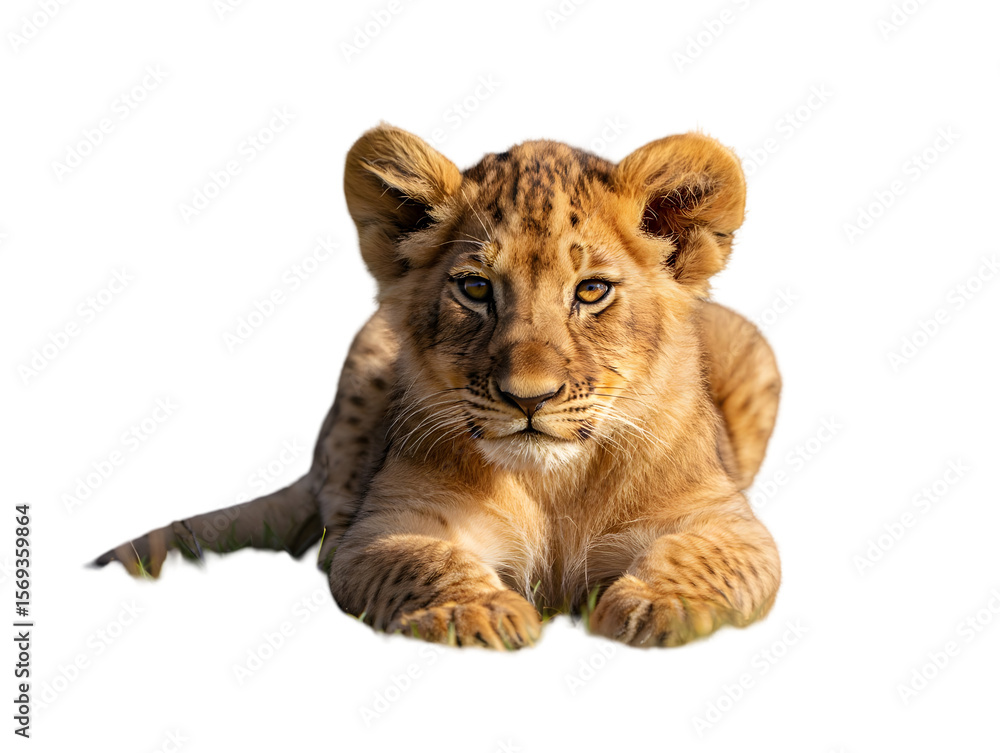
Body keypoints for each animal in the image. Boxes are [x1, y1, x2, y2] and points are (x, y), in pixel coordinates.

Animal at [95, 124, 782, 649]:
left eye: (591, 291)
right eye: (476, 288)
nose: (528, 398)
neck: (553, 486)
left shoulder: (724, 520)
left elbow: (699, 558)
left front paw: (660, 608)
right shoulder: (392, 523)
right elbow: (425, 561)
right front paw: (475, 611)